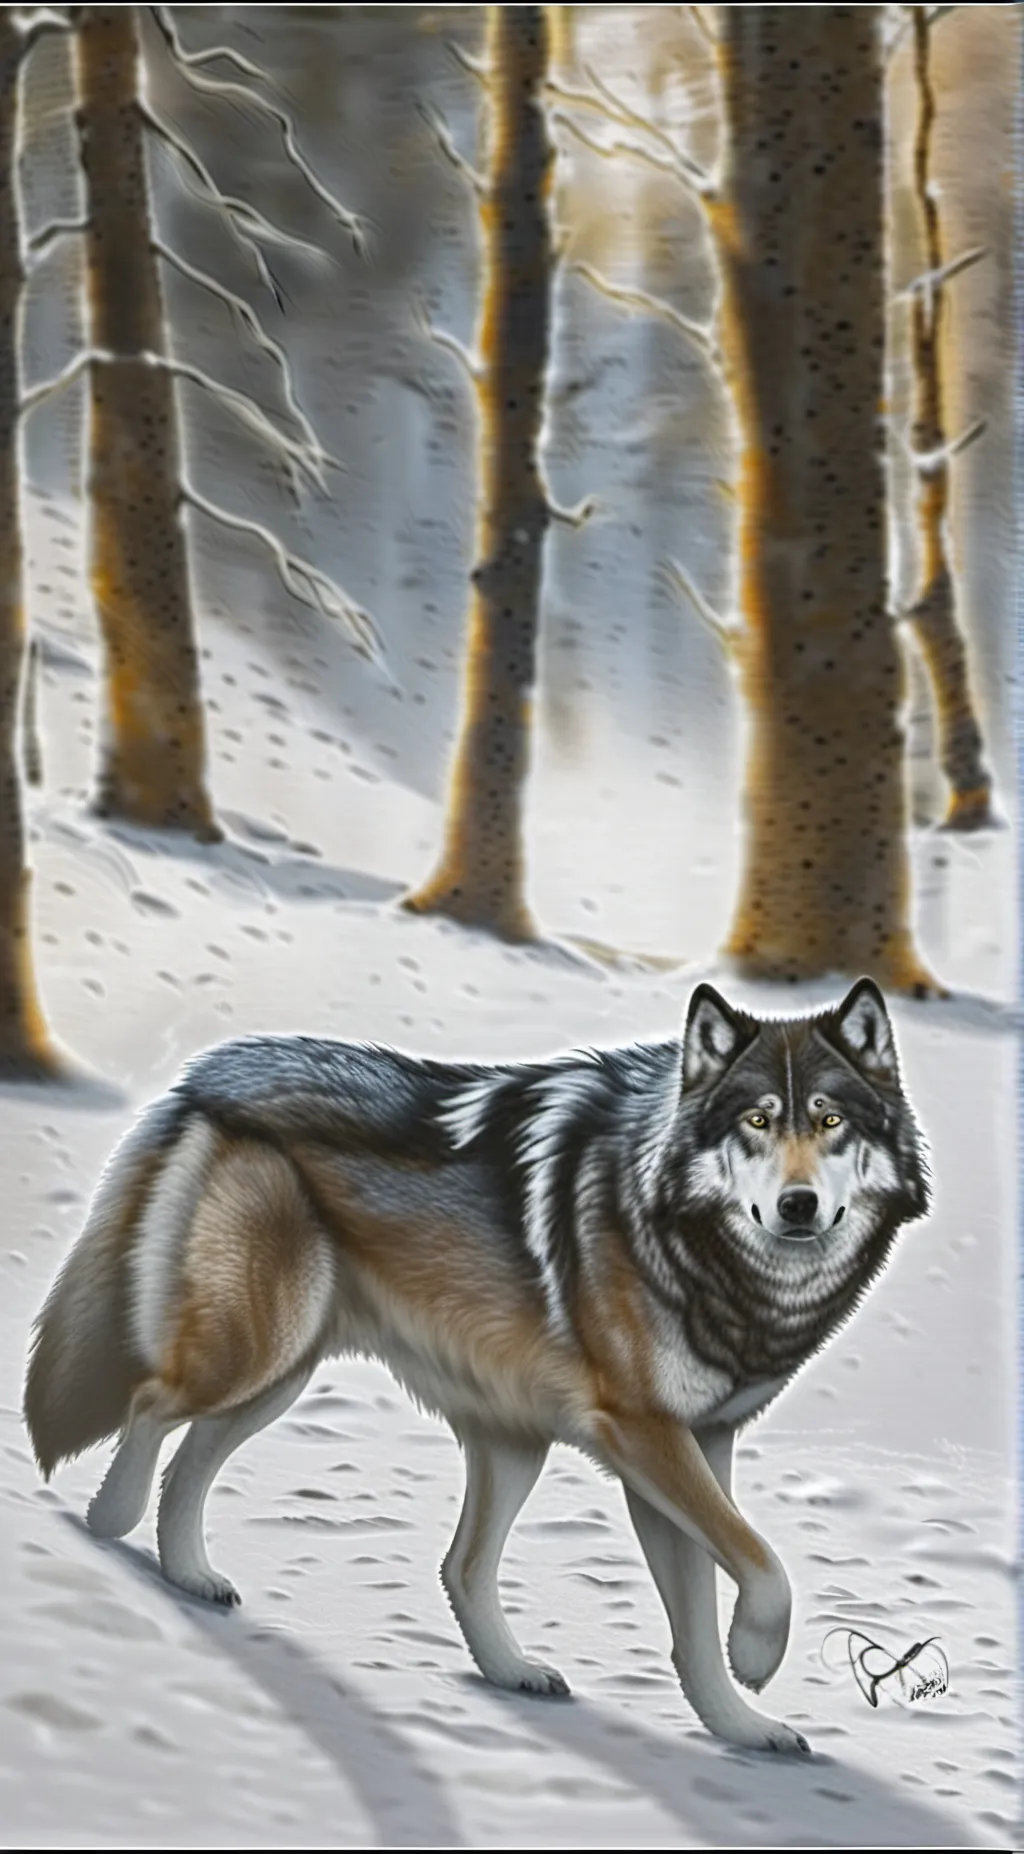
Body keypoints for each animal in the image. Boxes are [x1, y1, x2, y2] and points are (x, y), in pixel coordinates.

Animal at [23, 977, 928, 1755]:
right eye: (758, 1122)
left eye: (830, 1121)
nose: (798, 1206)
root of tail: (212, 1070)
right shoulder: (646, 1436)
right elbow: (763, 1567)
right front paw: (757, 1659)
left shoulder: (694, 1445)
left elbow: (707, 1609)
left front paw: (740, 1724)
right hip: (258, 1351)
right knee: (150, 1402)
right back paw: (109, 1525)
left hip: (372, 1401)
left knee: (445, 1560)